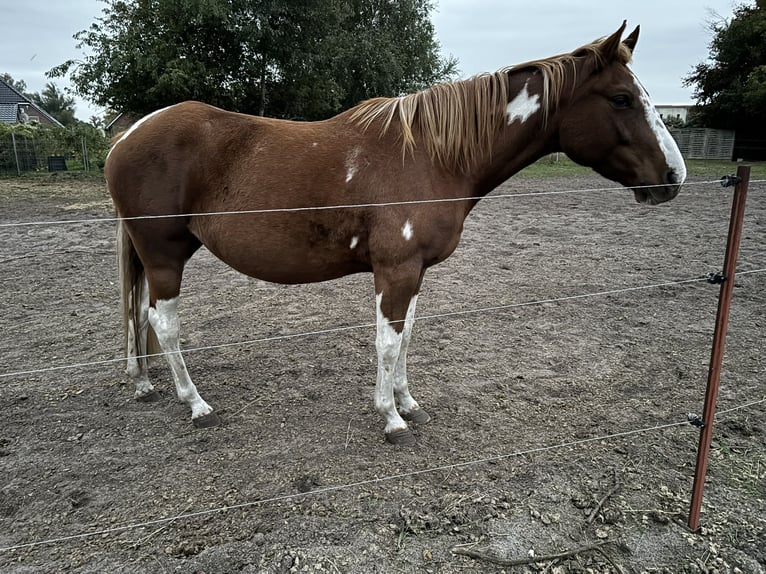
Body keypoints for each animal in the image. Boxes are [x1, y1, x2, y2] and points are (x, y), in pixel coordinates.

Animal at [105, 22, 688, 446]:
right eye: (620, 99)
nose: (673, 177)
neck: (431, 154)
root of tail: (129, 135)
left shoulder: (416, 272)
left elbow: (406, 336)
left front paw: (408, 402)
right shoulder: (396, 270)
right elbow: (387, 341)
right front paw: (391, 418)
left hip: (153, 255)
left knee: (138, 314)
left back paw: (144, 383)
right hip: (164, 254)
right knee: (162, 322)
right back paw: (196, 404)